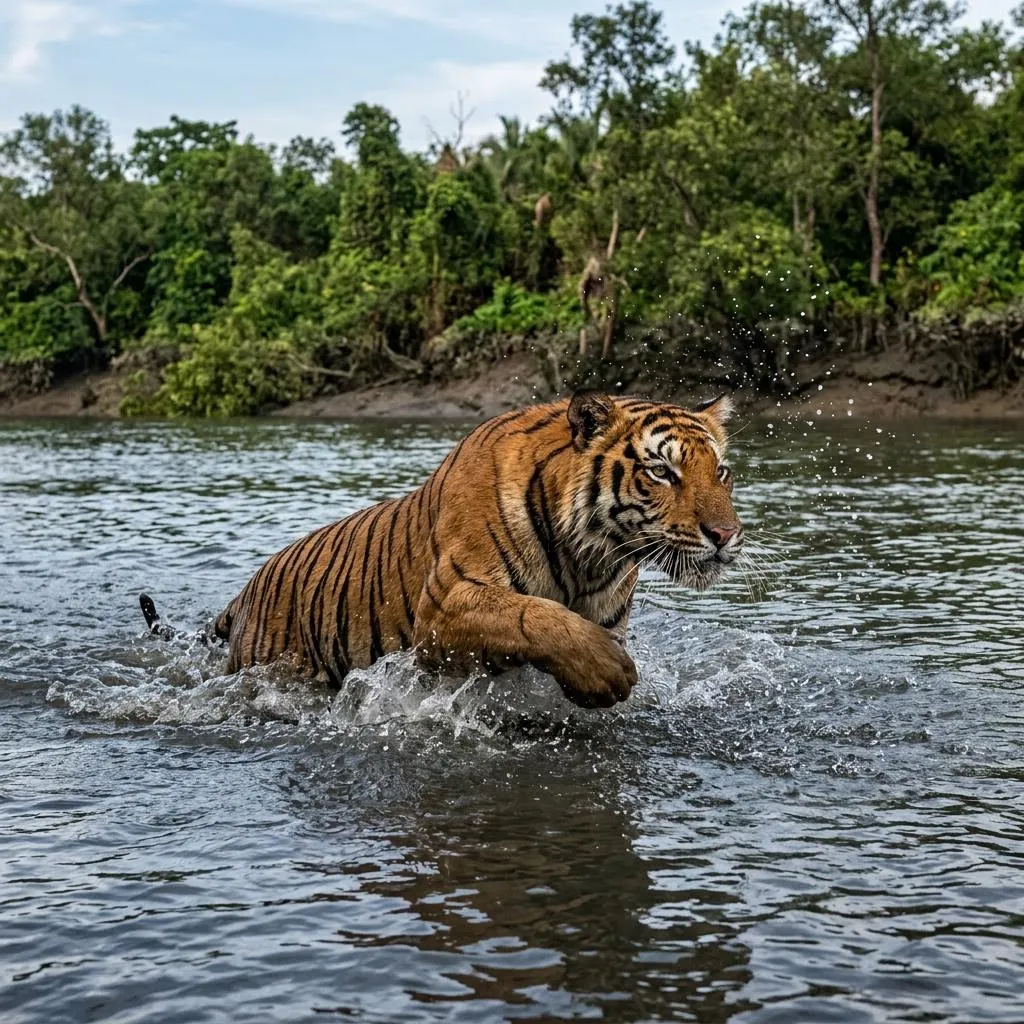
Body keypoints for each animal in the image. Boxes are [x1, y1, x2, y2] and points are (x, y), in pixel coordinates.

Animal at [140, 392, 743, 708]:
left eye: (721, 472)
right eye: (662, 472)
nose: (726, 535)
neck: (591, 558)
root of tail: (246, 592)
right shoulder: (445, 604)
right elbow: (535, 616)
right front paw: (608, 674)